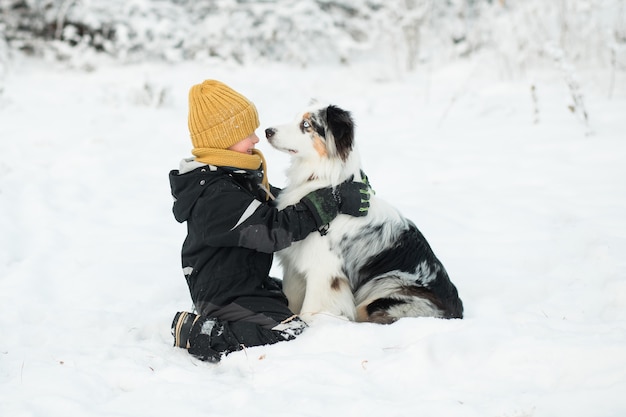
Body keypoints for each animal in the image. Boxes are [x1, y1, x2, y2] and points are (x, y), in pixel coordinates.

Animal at [260, 102, 460, 324]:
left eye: (306, 125)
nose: (268, 131)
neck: (328, 183)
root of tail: (457, 312)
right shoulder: (296, 267)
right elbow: (292, 299)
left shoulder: (324, 270)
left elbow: (310, 309)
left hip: (382, 293)